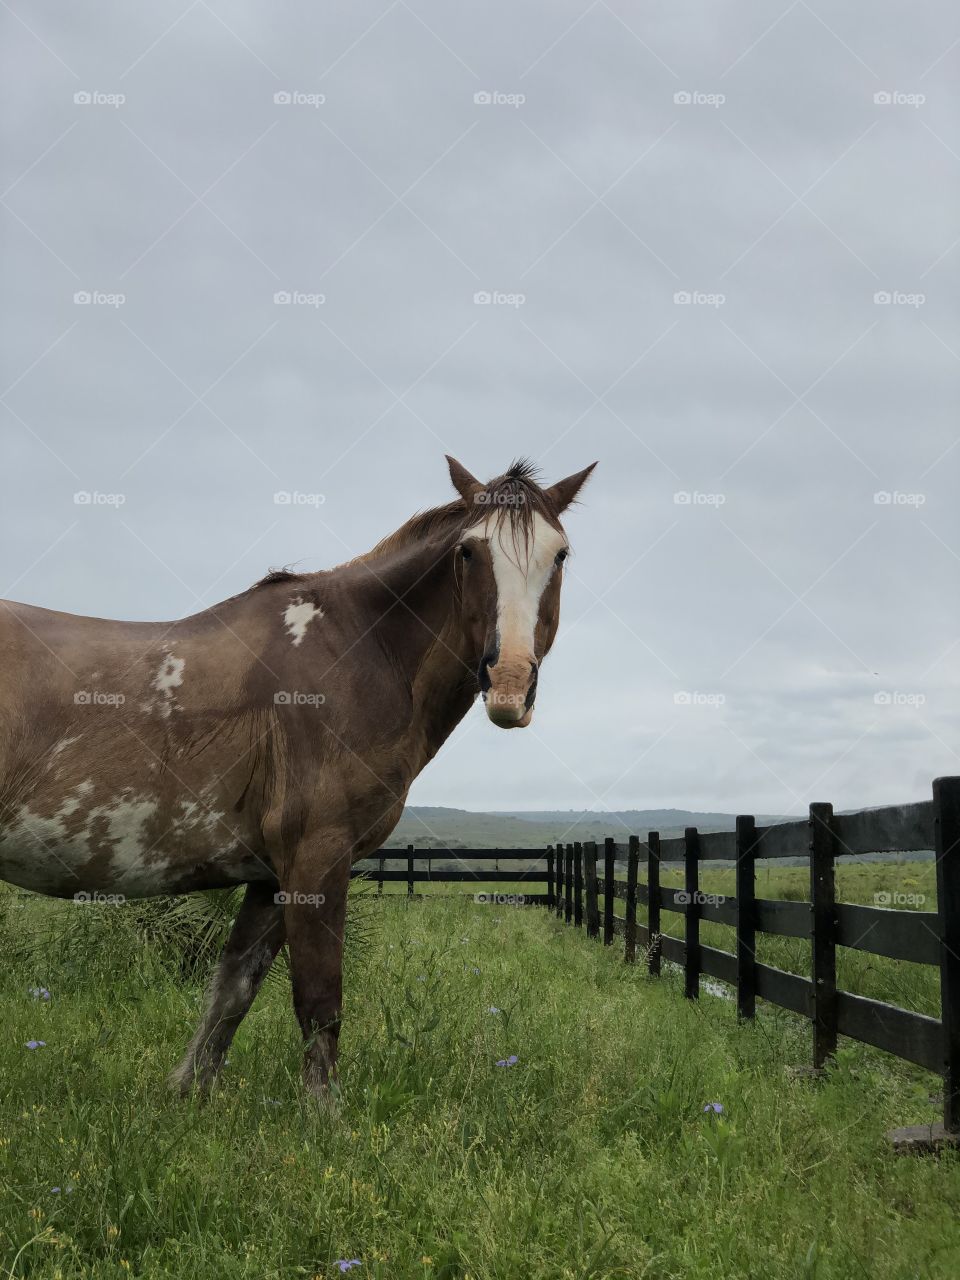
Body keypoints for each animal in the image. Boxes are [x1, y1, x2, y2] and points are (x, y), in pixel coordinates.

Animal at [0, 456, 595, 1095]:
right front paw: (322, 1113)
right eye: (468, 552)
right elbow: (318, 1004)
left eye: (560, 554)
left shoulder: (270, 875)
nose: (509, 684)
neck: (358, 654)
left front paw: (188, 1094)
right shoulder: (316, 856)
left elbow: (231, 994)